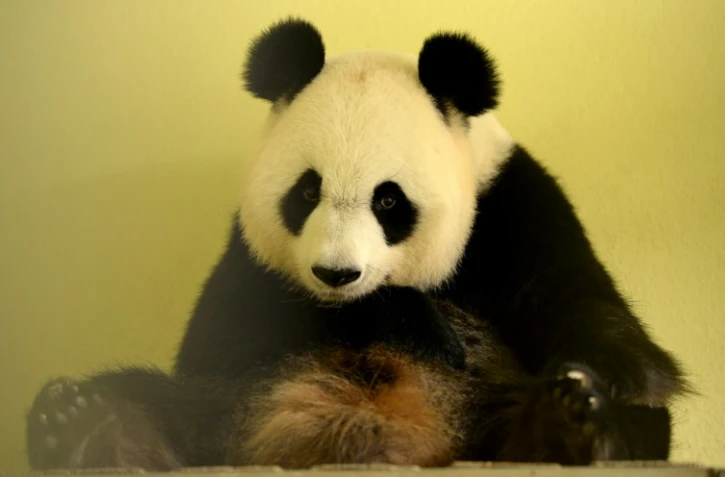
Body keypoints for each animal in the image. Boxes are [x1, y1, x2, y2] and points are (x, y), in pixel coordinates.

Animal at [26, 18, 689, 470]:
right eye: (306, 191)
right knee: (152, 400)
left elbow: (593, 314)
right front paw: (415, 323)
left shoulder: (513, 205)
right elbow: (219, 342)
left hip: (486, 412)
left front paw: (608, 378)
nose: (336, 275)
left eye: (389, 201)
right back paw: (82, 425)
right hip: (226, 415)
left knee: (630, 424)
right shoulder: (247, 259)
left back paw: (570, 423)